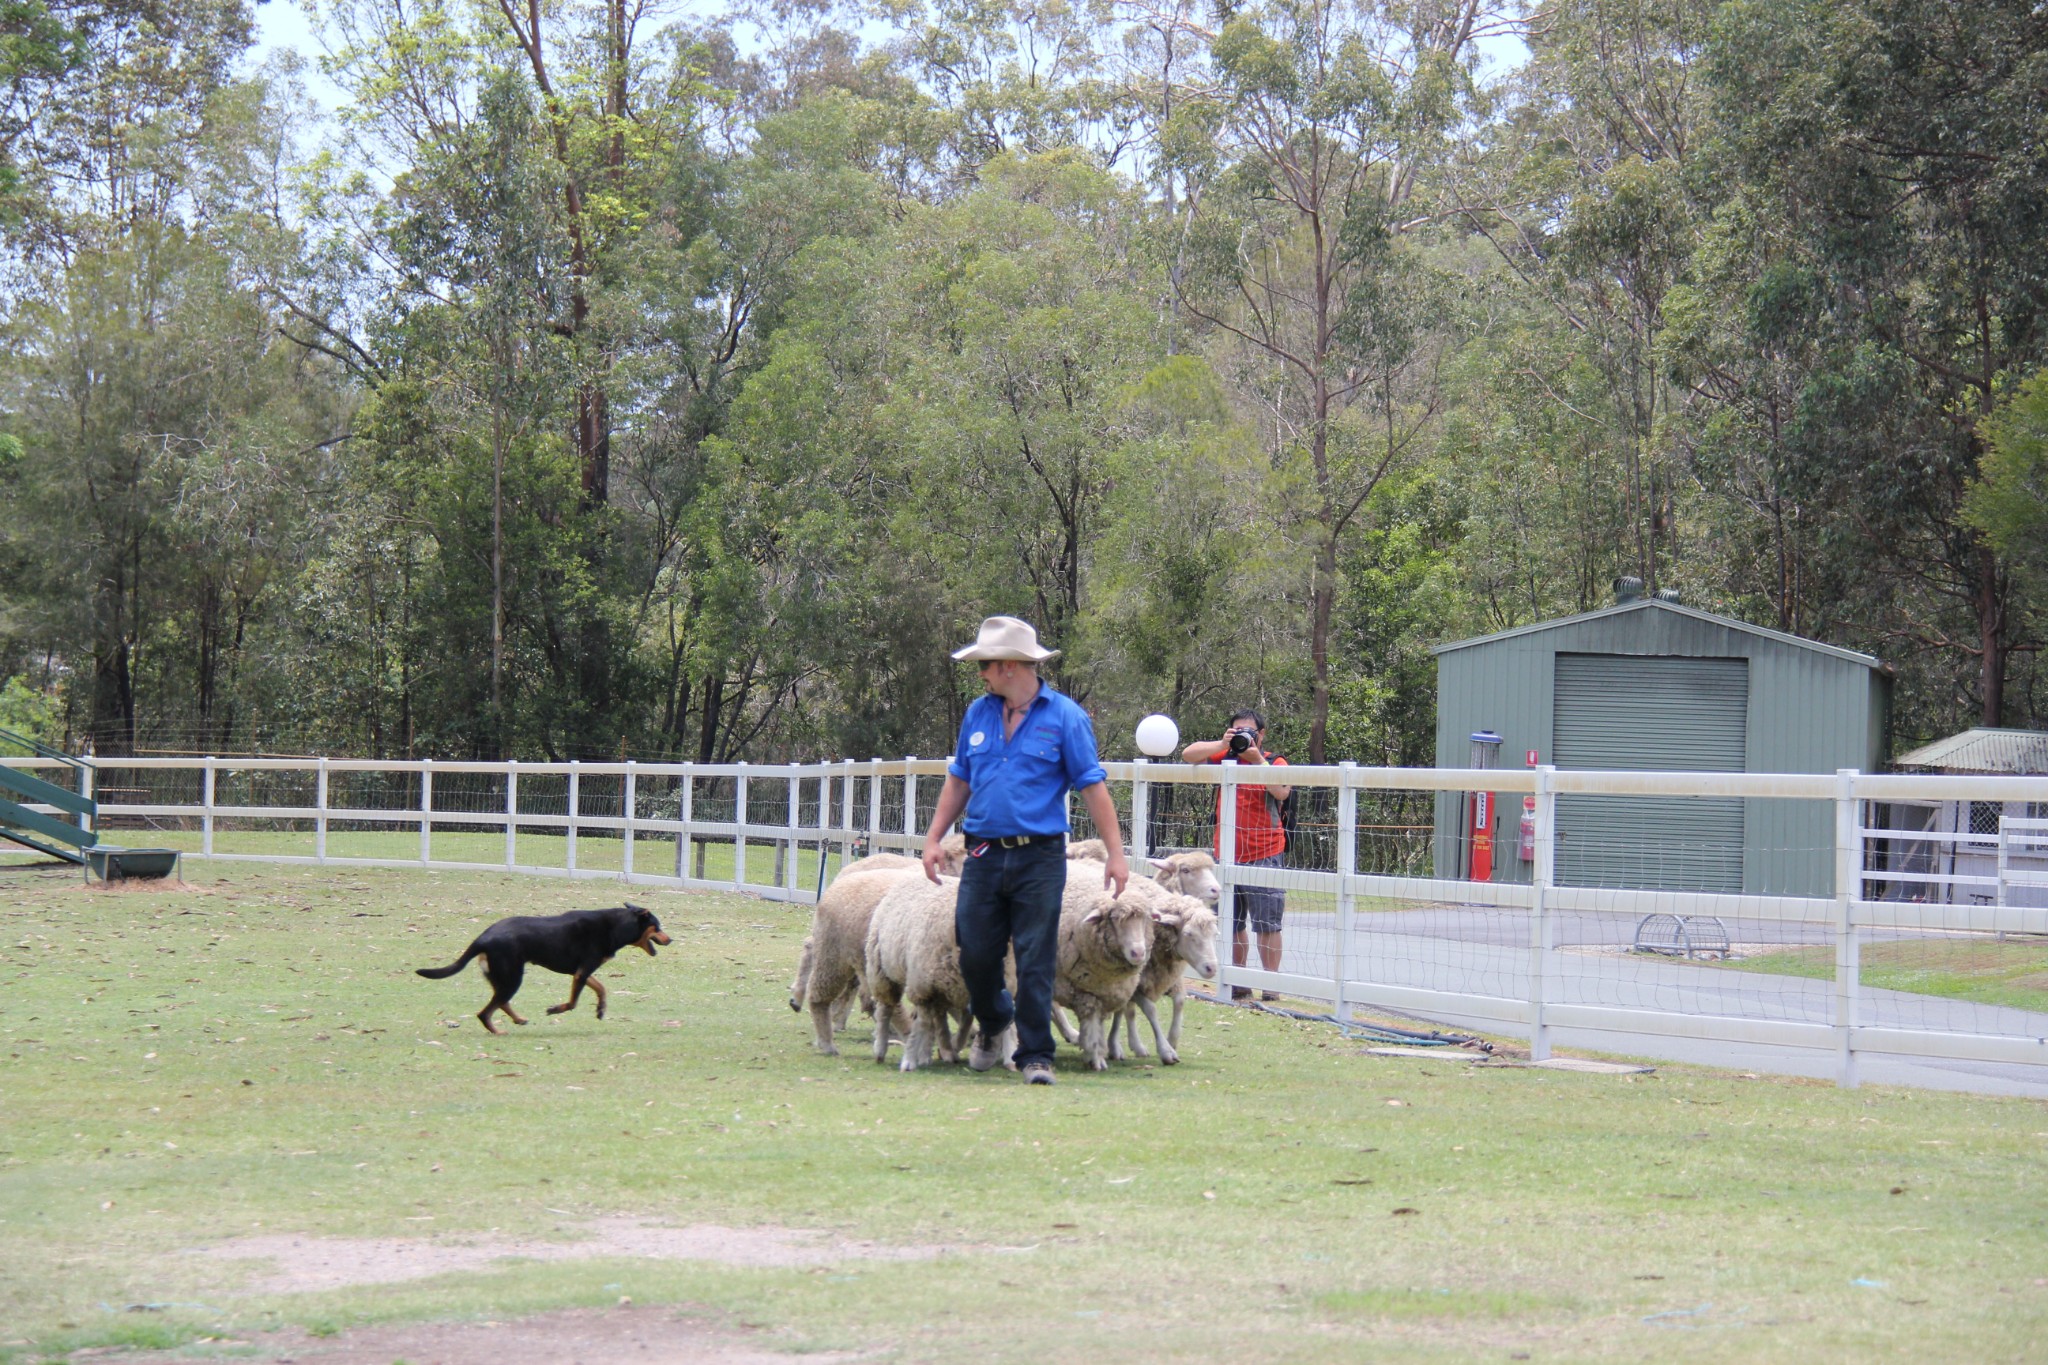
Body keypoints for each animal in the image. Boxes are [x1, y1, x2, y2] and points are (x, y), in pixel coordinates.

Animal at [415, 908, 671, 1035]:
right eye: (657, 927)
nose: (671, 939)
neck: (616, 925)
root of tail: (482, 938)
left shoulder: (580, 972)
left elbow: (601, 988)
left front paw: (600, 1009)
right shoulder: (582, 971)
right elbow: (573, 1003)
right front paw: (555, 1009)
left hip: (503, 977)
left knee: (500, 1003)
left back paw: (518, 1019)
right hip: (512, 977)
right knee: (485, 1012)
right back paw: (498, 1032)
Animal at [860, 871, 1011, 1072]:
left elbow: (967, 1020)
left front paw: (953, 1046)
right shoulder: (921, 988)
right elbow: (921, 1024)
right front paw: (909, 1060)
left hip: (939, 987)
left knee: (937, 1019)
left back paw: (934, 1052)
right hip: (882, 971)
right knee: (886, 1009)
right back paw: (881, 1049)